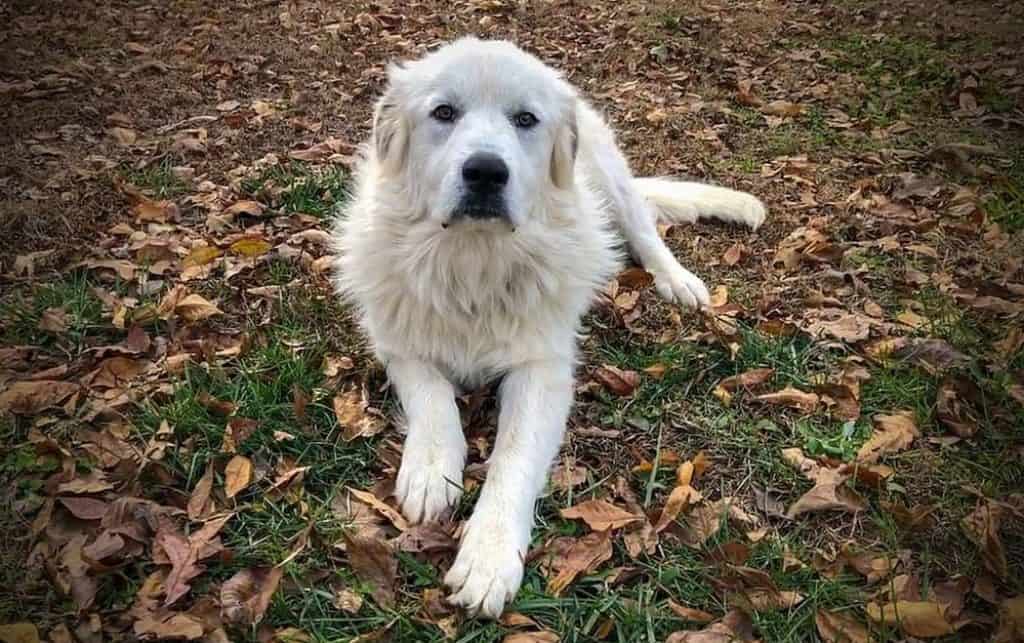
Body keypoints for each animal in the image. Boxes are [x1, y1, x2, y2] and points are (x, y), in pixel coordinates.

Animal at [331, 36, 765, 618]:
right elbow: (432, 398)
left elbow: (512, 459)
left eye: (525, 120)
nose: (486, 172)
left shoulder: (541, 370)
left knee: (646, 234)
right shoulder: (399, 342)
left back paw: (678, 281)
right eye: (444, 113)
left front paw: (489, 557)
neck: (473, 262)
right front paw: (430, 468)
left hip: (611, 181)